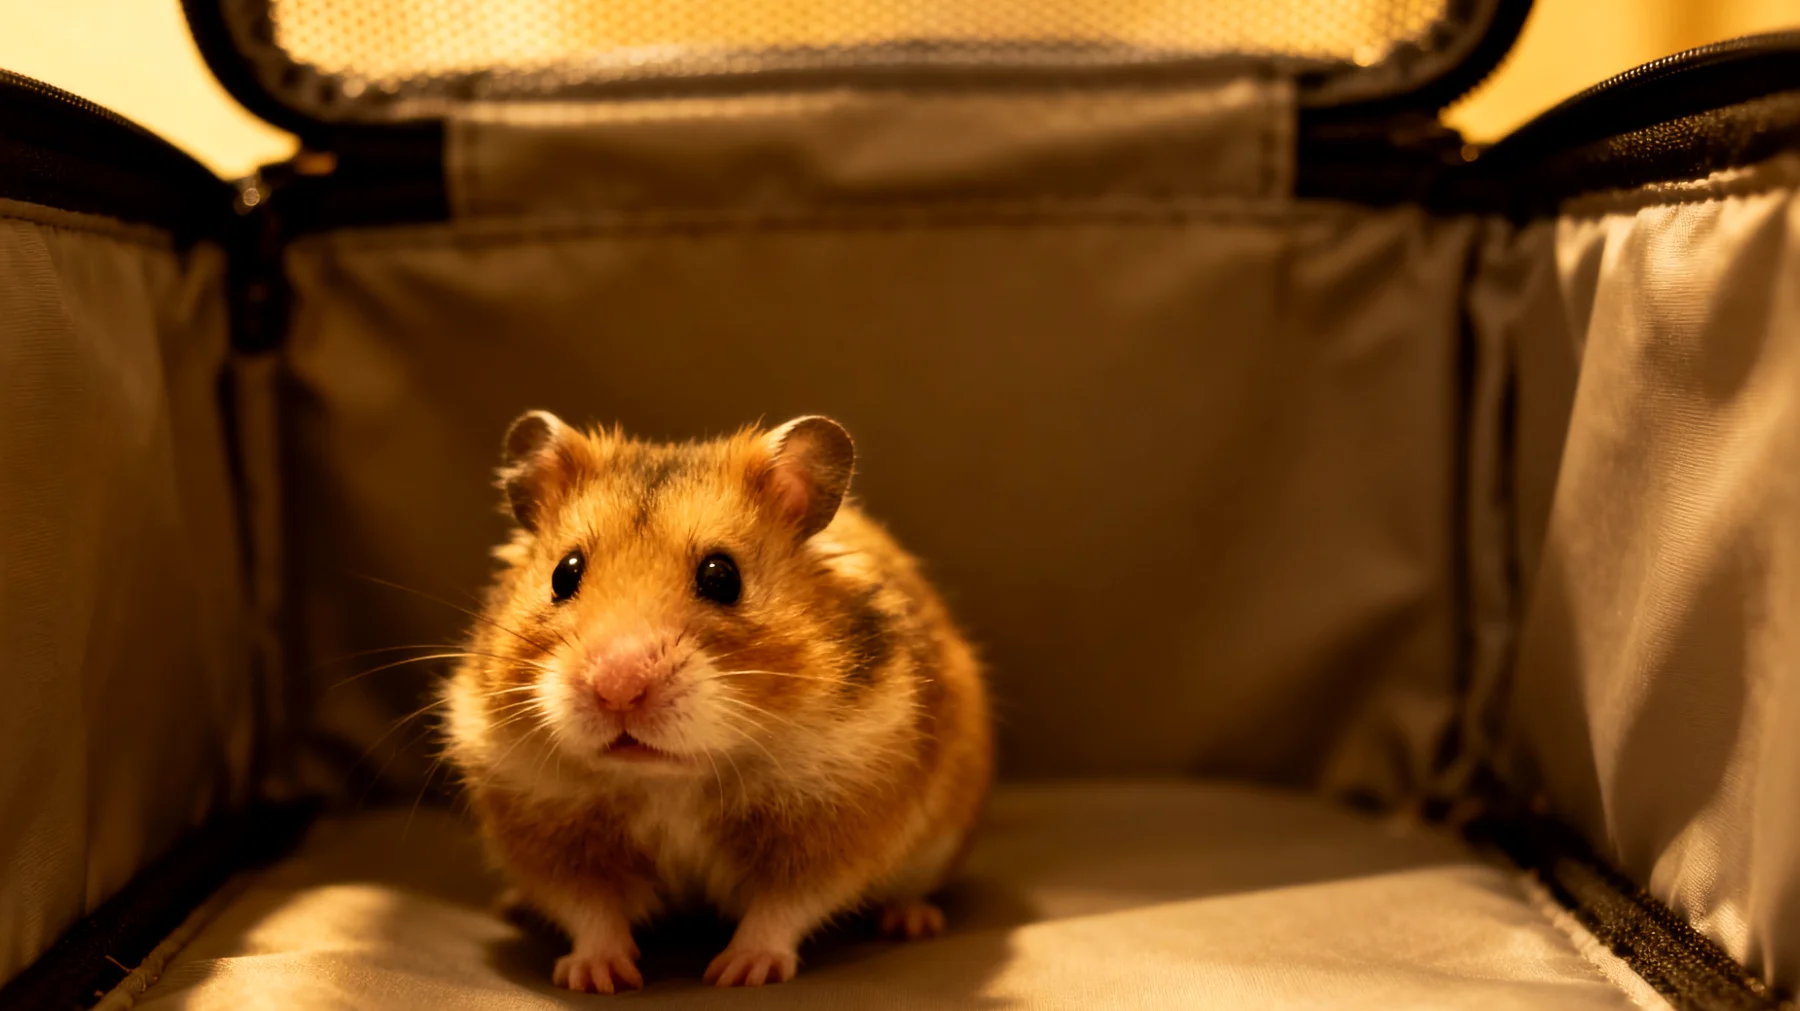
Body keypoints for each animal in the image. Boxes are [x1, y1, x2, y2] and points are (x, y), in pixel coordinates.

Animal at [441, 411, 992, 992]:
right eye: (563, 574)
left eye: (722, 576)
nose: (617, 687)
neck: (669, 780)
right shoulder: (548, 833)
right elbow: (591, 910)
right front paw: (596, 977)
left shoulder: (835, 823)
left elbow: (782, 908)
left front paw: (738, 972)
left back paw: (912, 921)